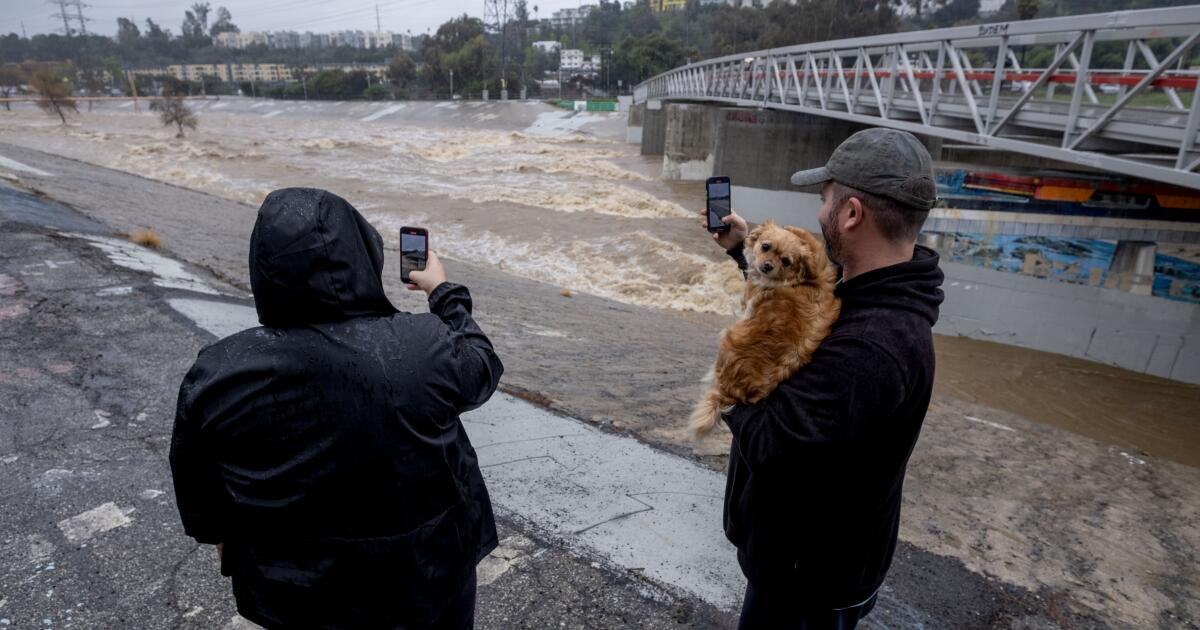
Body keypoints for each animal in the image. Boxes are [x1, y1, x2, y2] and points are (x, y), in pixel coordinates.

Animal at [691, 218, 840, 434]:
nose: (768, 265)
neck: (799, 281)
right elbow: (813, 246)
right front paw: (795, 231)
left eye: (786, 261)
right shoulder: (823, 271)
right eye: (766, 246)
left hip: (728, 337)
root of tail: (728, 394)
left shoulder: (750, 297)